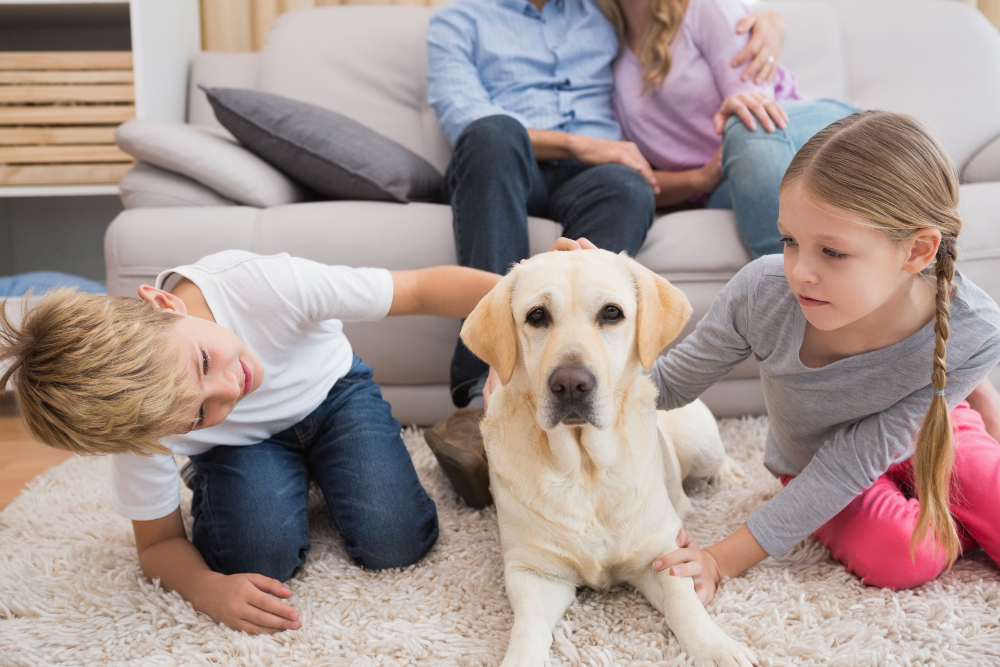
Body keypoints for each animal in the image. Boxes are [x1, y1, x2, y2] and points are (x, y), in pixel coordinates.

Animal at [464, 249, 752, 667]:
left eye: (611, 313)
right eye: (537, 315)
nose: (570, 384)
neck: (586, 470)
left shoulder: (662, 552)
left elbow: (684, 604)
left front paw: (717, 647)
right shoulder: (534, 572)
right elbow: (529, 626)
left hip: (702, 445)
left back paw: (732, 473)